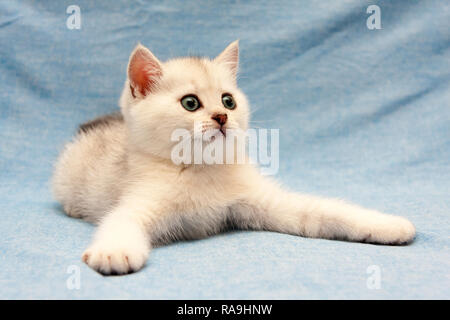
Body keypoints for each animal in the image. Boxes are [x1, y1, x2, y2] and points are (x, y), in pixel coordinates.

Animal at [51, 40, 414, 276]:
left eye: (228, 101)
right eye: (190, 103)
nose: (221, 117)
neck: (202, 169)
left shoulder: (264, 202)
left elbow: (326, 212)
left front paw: (386, 225)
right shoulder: (138, 201)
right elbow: (120, 221)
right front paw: (114, 252)